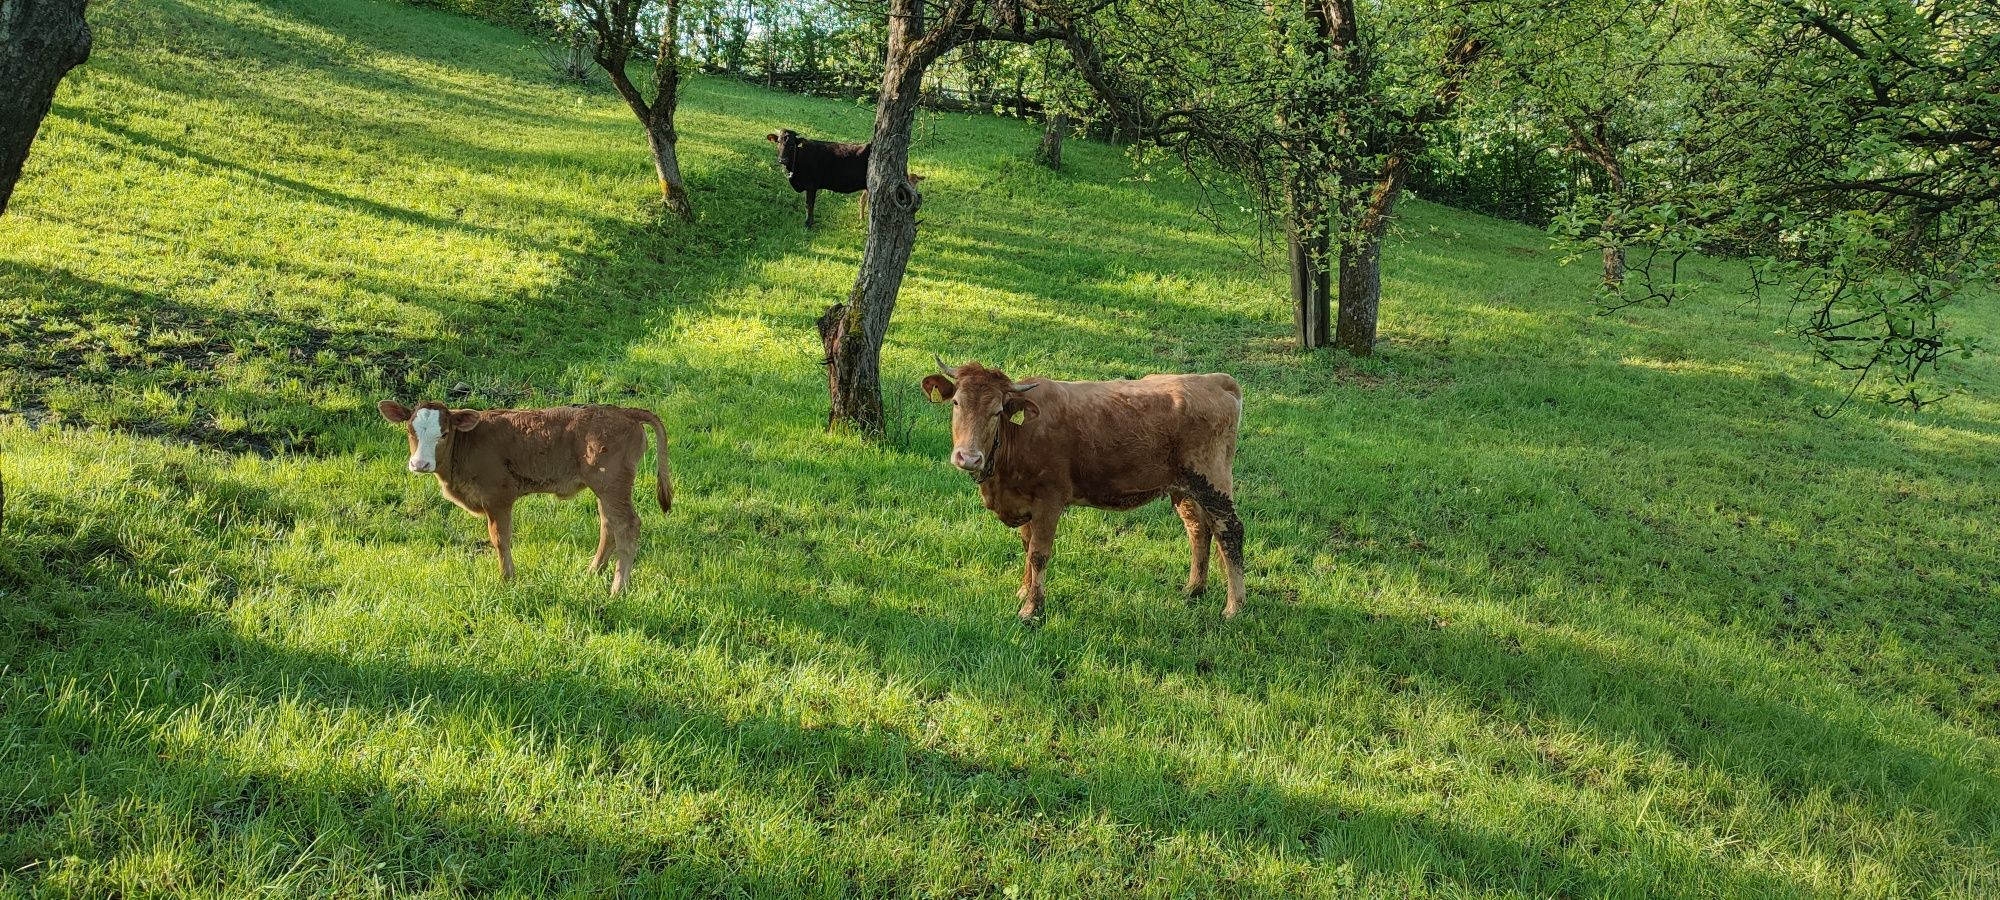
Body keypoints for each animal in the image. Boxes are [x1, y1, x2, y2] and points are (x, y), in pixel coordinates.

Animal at [378, 402, 676, 596]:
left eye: (443, 433)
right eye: (410, 431)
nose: (420, 464)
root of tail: (622, 410)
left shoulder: (498, 496)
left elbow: (500, 538)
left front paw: (507, 580)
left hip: (612, 484)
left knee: (626, 526)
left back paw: (618, 589)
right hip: (605, 488)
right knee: (608, 525)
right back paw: (593, 572)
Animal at [924, 358, 1248, 620]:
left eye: (997, 411)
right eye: (957, 403)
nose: (968, 457)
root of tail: (1214, 380)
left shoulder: (1049, 500)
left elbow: (1038, 553)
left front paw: (1032, 608)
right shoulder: (1024, 501)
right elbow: (1027, 545)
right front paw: (1024, 591)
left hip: (1213, 481)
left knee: (1229, 531)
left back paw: (1234, 607)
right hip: (1185, 488)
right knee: (1198, 529)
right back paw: (1194, 589)